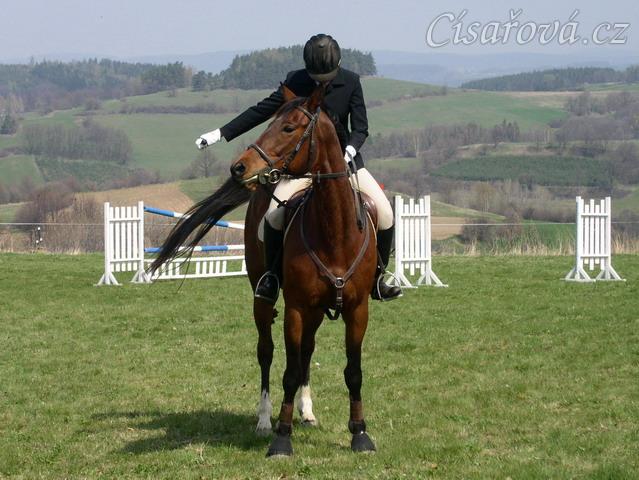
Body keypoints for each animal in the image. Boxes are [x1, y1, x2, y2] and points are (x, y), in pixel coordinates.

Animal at [150, 84, 378, 456]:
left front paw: (359, 434)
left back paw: (307, 411)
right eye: (268, 123)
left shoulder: (358, 309)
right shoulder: (296, 308)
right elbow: (287, 370)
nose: (239, 168)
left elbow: (353, 370)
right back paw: (263, 419)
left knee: (306, 352)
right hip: (265, 299)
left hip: (317, 310)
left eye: (288, 128)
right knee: (267, 352)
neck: (334, 231)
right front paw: (281, 438)